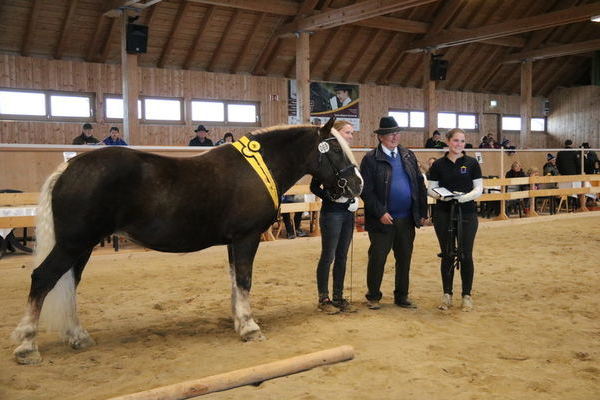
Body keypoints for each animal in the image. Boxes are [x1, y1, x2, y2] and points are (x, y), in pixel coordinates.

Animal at [12, 118, 360, 362]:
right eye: (336, 149)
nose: (356, 184)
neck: (258, 169)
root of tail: (70, 166)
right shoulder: (246, 238)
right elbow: (244, 280)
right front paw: (249, 328)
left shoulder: (234, 241)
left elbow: (235, 281)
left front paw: (239, 322)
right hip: (73, 243)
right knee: (42, 278)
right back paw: (28, 346)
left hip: (81, 247)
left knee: (69, 283)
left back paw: (77, 336)